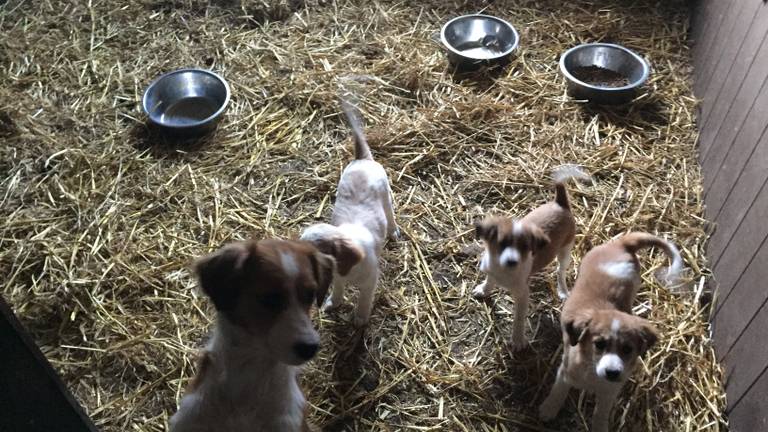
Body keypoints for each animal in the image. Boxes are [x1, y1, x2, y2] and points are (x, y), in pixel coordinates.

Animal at [298, 98, 400, 328]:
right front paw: (333, 303)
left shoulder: (370, 280)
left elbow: (364, 299)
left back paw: (393, 231)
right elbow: (338, 289)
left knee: (390, 215)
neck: (346, 270)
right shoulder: (337, 278)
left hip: (386, 195)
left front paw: (360, 318)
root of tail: (362, 159)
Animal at [472, 165, 592, 352]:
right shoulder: (490, 271)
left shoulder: (522, 295)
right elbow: (489, 281)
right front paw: (484, 290)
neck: (503, 271)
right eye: (501, 243)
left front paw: (517, 340)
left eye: (525, 247)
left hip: (565, 250)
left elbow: (518, 320)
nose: (512, 261)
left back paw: (563, 291)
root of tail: (560, 203)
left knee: (560, 271)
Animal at [536, 233, 688, 432]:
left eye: (627, 349)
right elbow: (558, 393)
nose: (612, 373)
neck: (592, 370)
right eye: (599, 344)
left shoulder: (609, 392)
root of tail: (622, 244)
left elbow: (601, 414)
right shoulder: (565, 375)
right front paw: (548, 410)